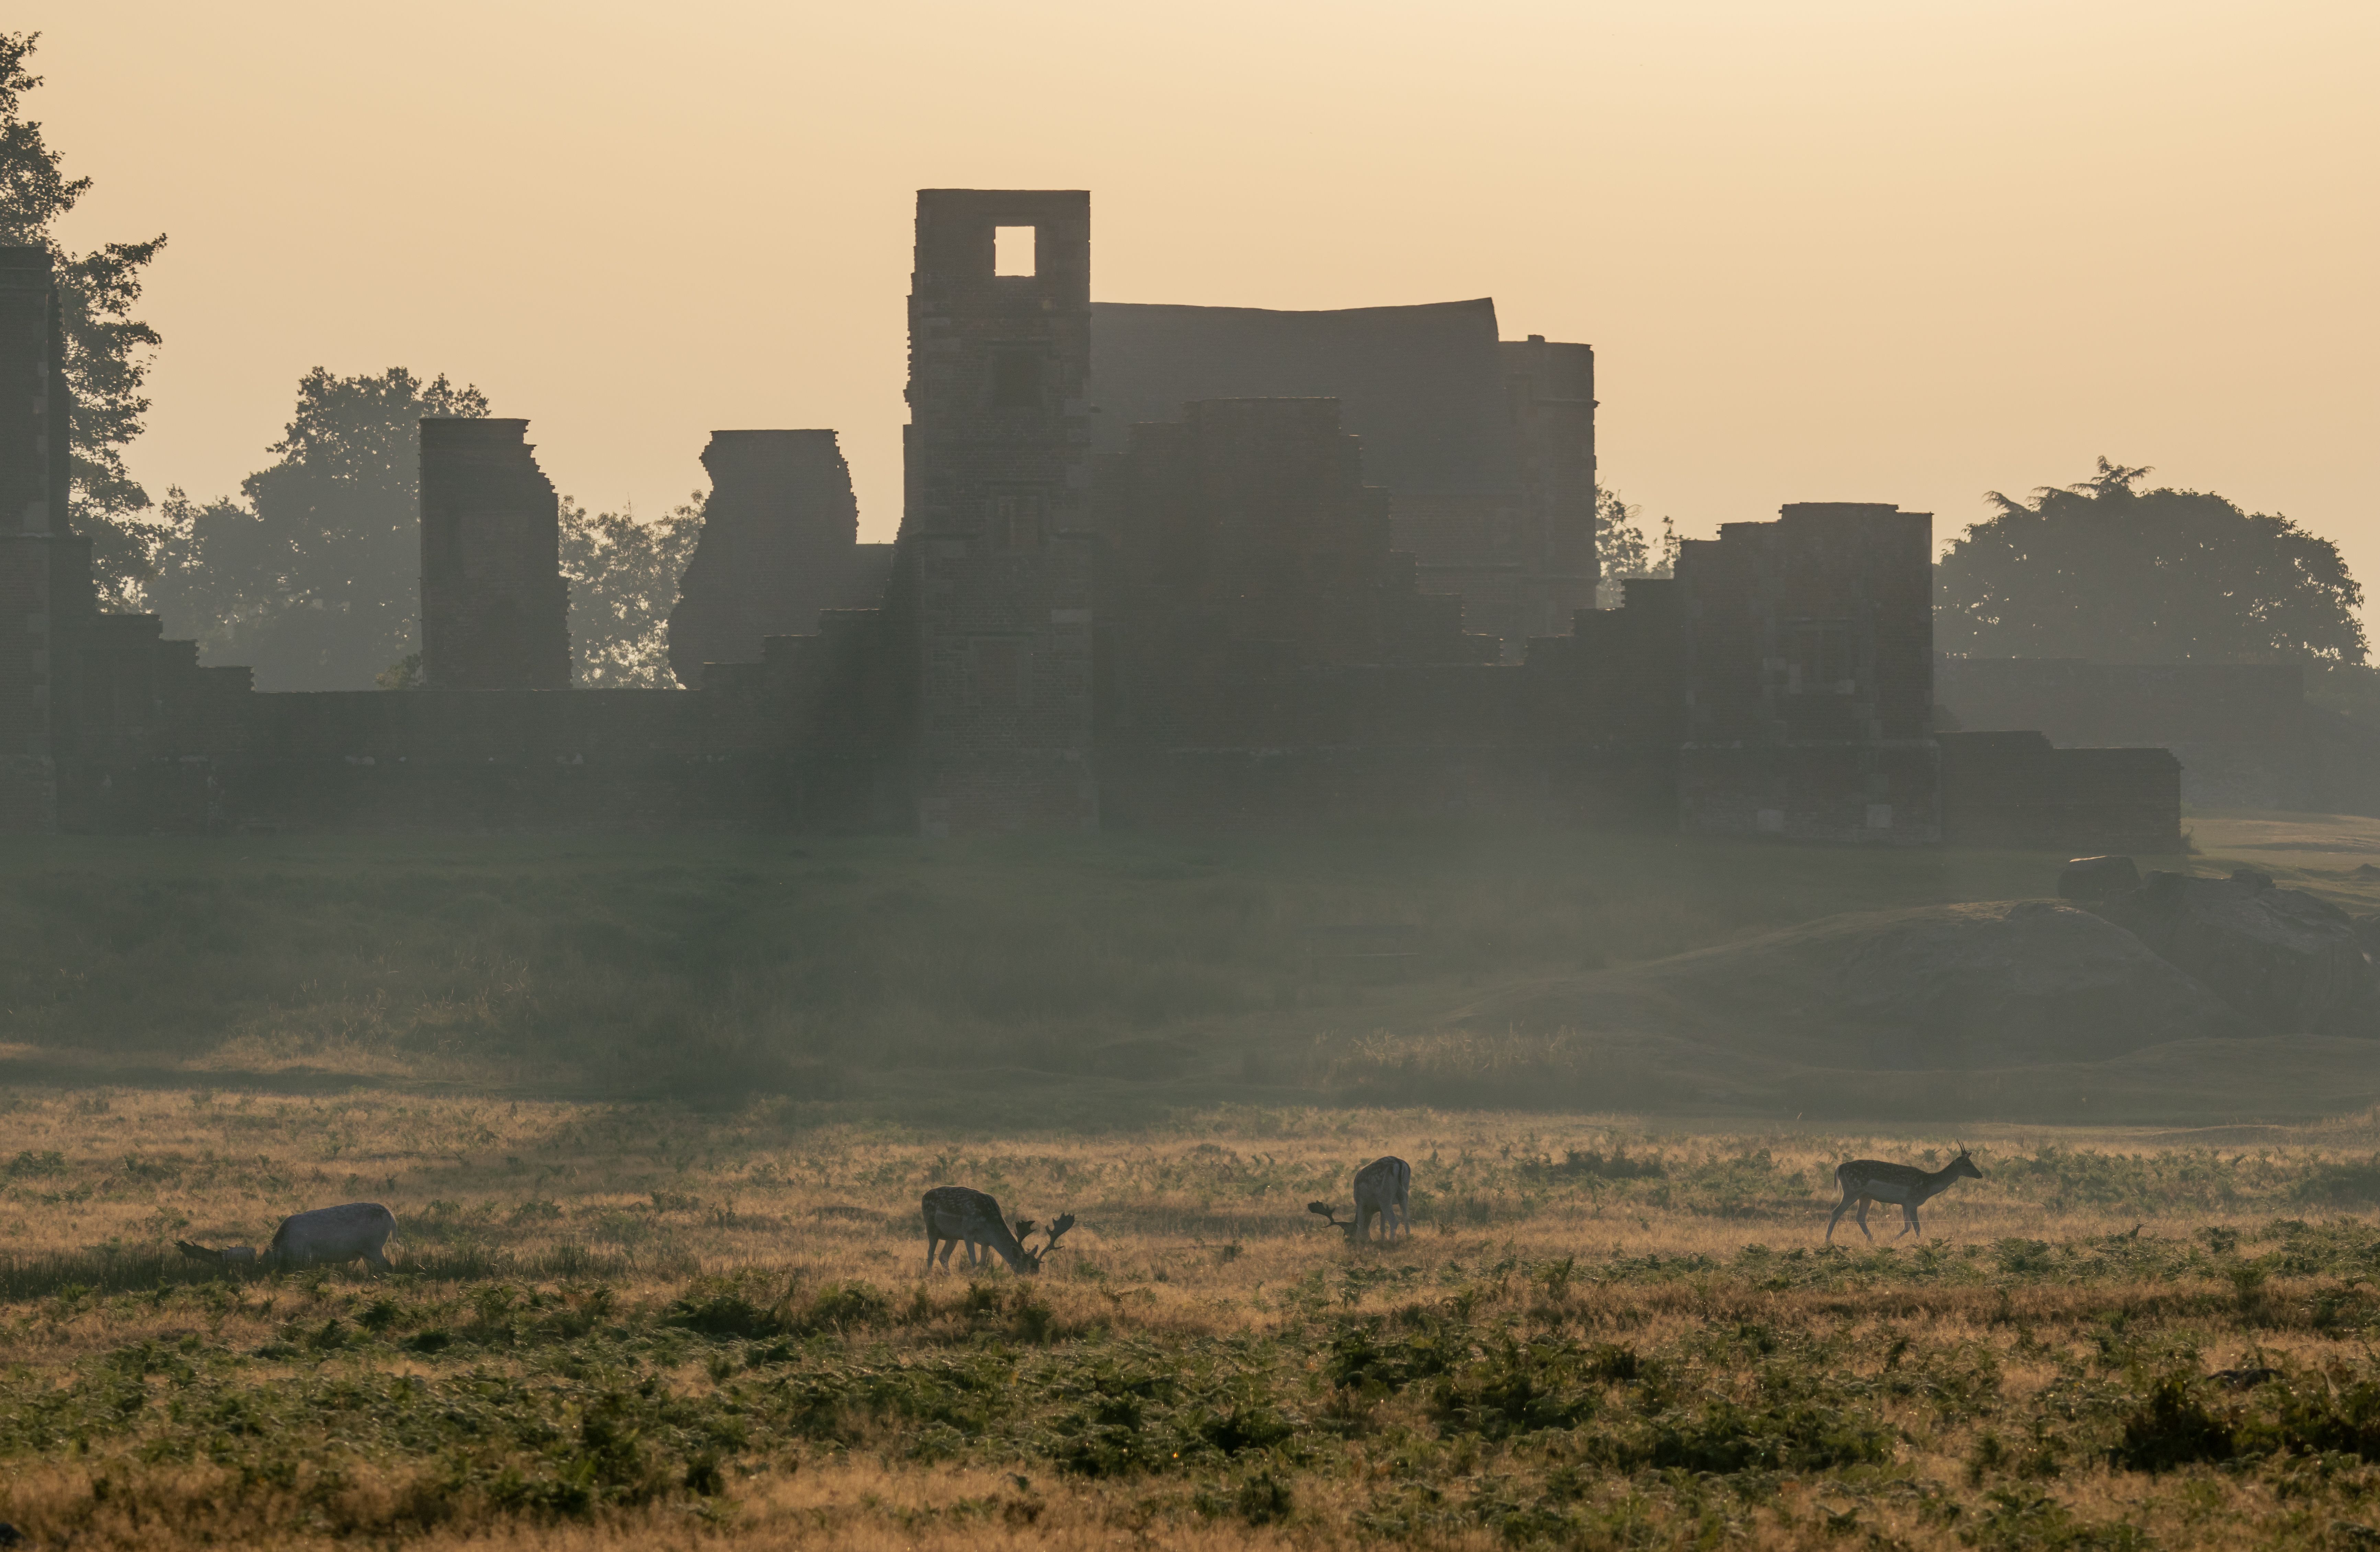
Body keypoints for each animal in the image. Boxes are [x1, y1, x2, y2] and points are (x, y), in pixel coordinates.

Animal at [921, 1186, 1075, 1274]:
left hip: (952, 1237)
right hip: (932, 1228)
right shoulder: (968, 1233)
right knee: (930, 1255)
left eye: (1037, 1271)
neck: (988, 1223)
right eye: (1023, 1269)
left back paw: (948, 1276)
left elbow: (983, 1264)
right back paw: (929, 1277)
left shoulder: (986, 1242)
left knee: (943, 1257)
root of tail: (924, 1196)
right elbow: (974, 1262)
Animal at [1306, 1155, 1411, 1243]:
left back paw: (1392, 1241)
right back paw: (1408, 1238)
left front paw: (1360, 1241)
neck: (1372, 1209)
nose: (1348, 1241)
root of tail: (1399, 1163)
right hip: (1404, 1195)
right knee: (1406, 1219)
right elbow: (1382, 1228)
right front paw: (1382, 1240)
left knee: (1394, 1221)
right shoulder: (1380, 1209)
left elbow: (1360, 1226)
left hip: (1384, 1196)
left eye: (1347, 1232)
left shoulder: (1361, 1203)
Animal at [1825, 1146, 1982, 1244]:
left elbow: (1907, 1227)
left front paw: (1890, 1242)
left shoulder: (1905, 1203)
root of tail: (1840, 1168)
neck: (1929, 1186)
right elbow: (1917, 1227)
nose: (1980, 1175)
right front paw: (1920, 1245)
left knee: (1860, 1217)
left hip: (1865, 1196)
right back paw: (1827, 1242)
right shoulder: (1912, 1202)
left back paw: (1873, 1242)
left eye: (1972, 1162)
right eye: (1967, 1165)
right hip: (1852, 1191)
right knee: (1836, 1212)